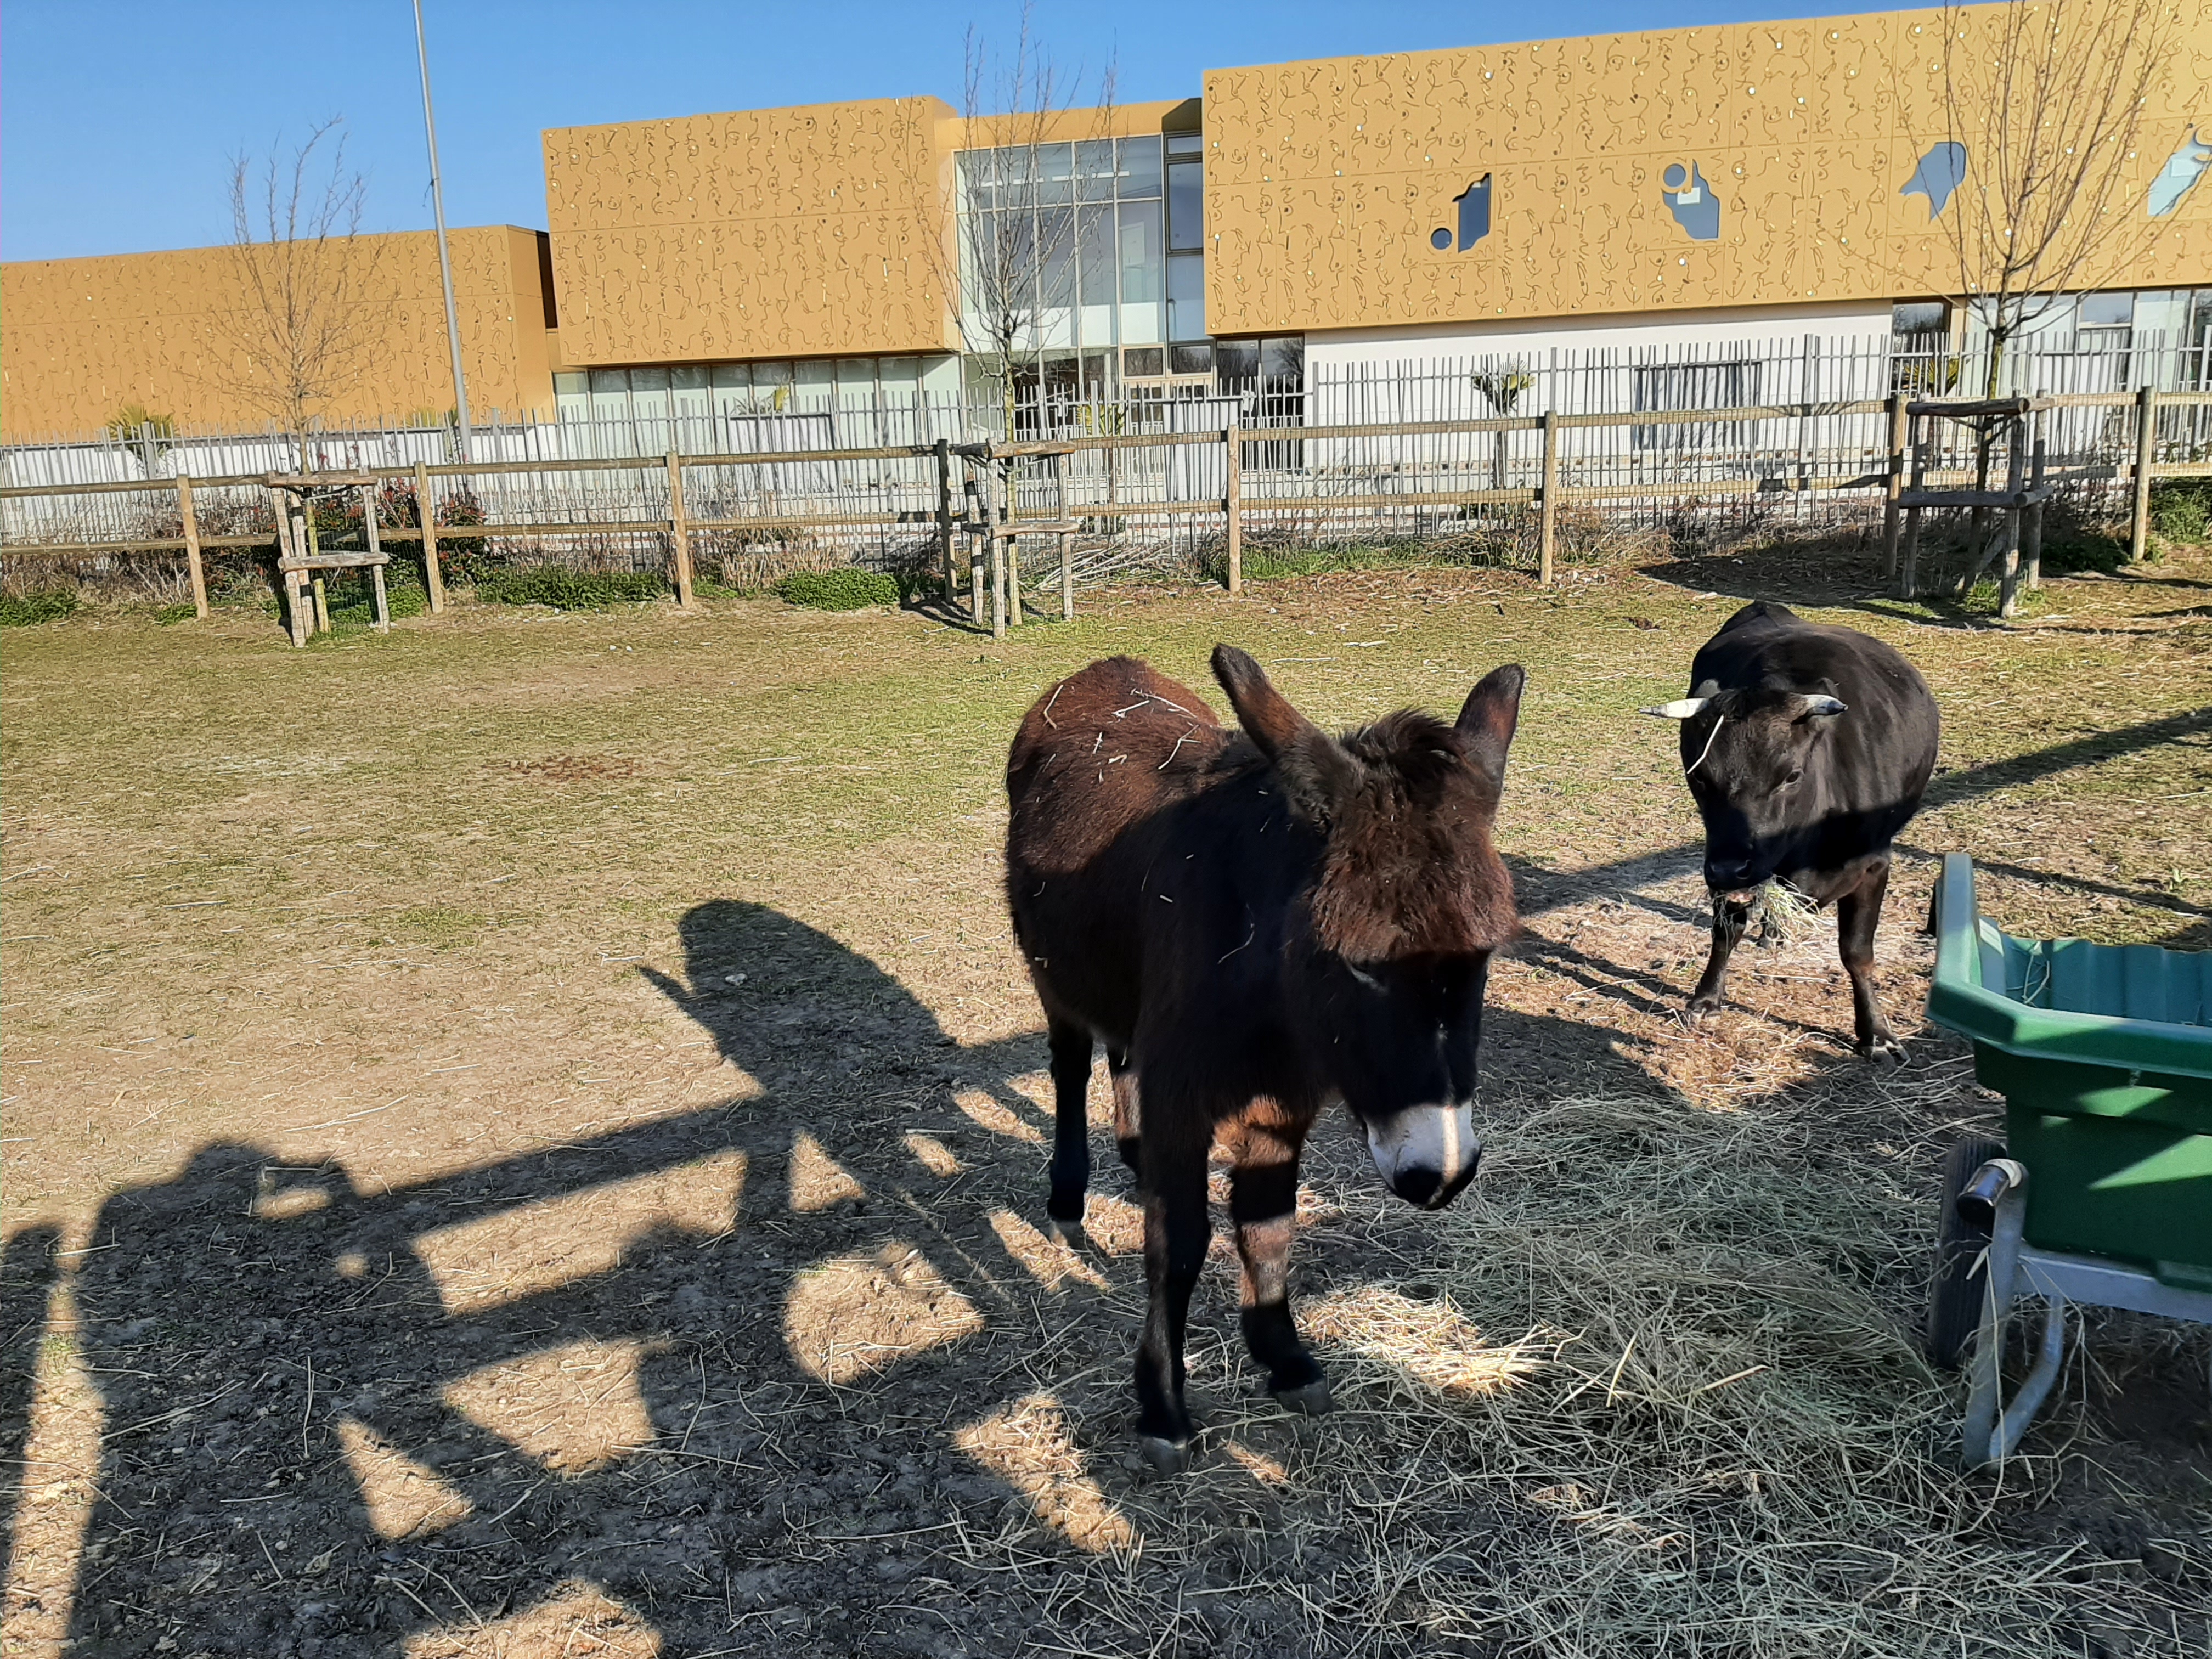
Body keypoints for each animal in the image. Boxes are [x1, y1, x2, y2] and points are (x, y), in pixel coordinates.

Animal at [1005, 646, 1525, 1471]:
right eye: (1359, 966)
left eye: (1483, 958)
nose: (1440, 1174)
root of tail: (1101, 669)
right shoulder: (1187, 1097)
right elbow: (1179, 1245)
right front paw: (1163, 1406)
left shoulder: (1282, 1101)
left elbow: (1270, 1226)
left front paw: (1284, 1358)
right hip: (1051, 973)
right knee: (1070, 1065)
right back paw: (1067, 1197)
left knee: (1122, 1057)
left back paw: (1131, 1156)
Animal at [1643, 600, 1940, 1060]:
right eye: (1701, 778)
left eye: (1792, 776)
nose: (1730, 868)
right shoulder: (1721, 862)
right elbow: (1726, 932)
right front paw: (1706, 1000)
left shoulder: (1874, 864)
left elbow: (1858, 952)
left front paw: (1876, 1032)